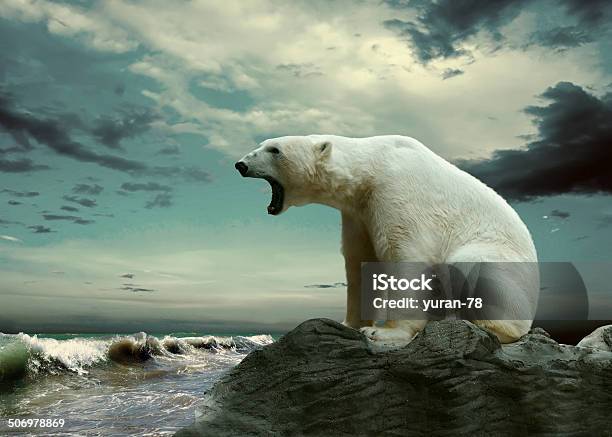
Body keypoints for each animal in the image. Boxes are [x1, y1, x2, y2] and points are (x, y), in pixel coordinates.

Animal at [234, 135, 536, 346]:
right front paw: (349, 323)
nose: (240, 164)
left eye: (275, 150)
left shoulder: (397, 191)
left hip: (500, 260)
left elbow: (406, 256)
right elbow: (359, 261)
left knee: (469, 265)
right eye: (262, 145)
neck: (369, 168)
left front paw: (383, 333)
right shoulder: (358, 212)